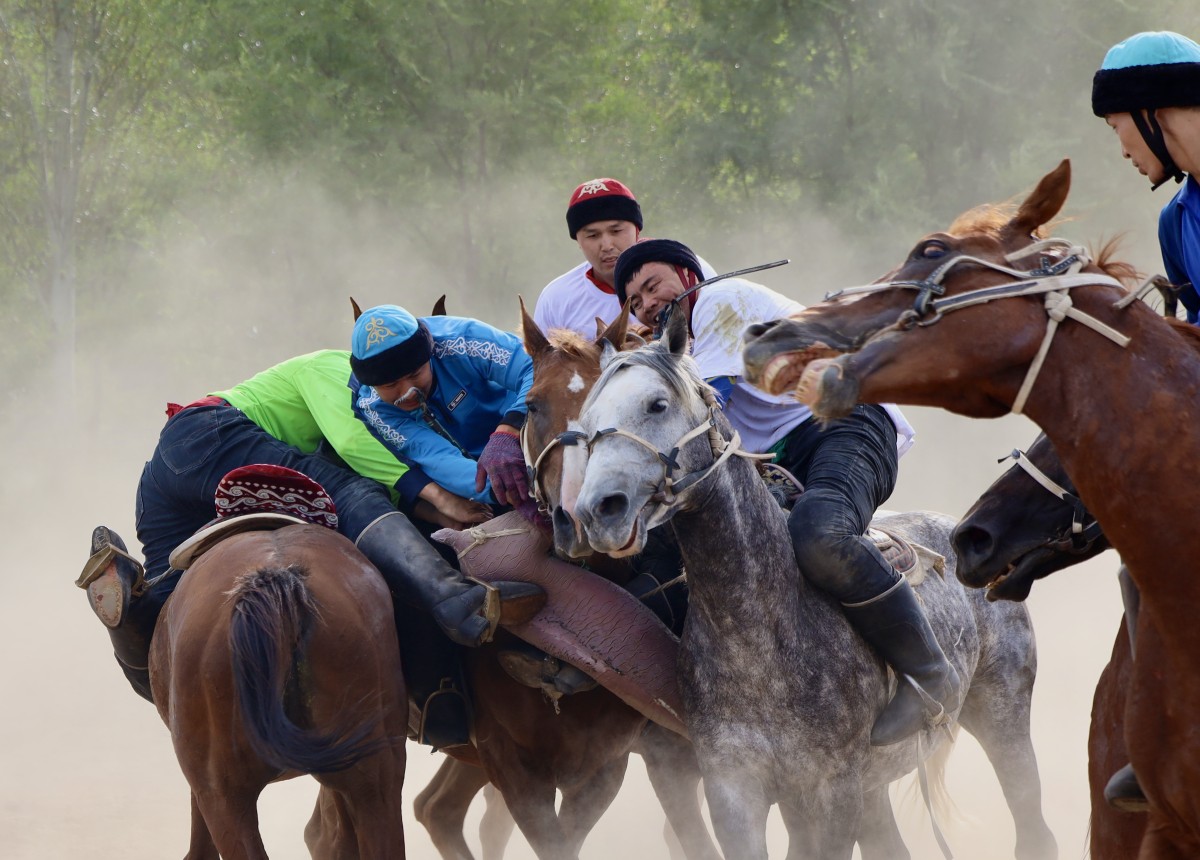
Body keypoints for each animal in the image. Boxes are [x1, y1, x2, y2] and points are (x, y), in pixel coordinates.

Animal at [556, 314, 1056, 858]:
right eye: (586, 420)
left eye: (657, 404)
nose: (598, 510)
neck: (759, 633)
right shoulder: (735, 792)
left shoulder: (829, 793)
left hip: (1003, 716)